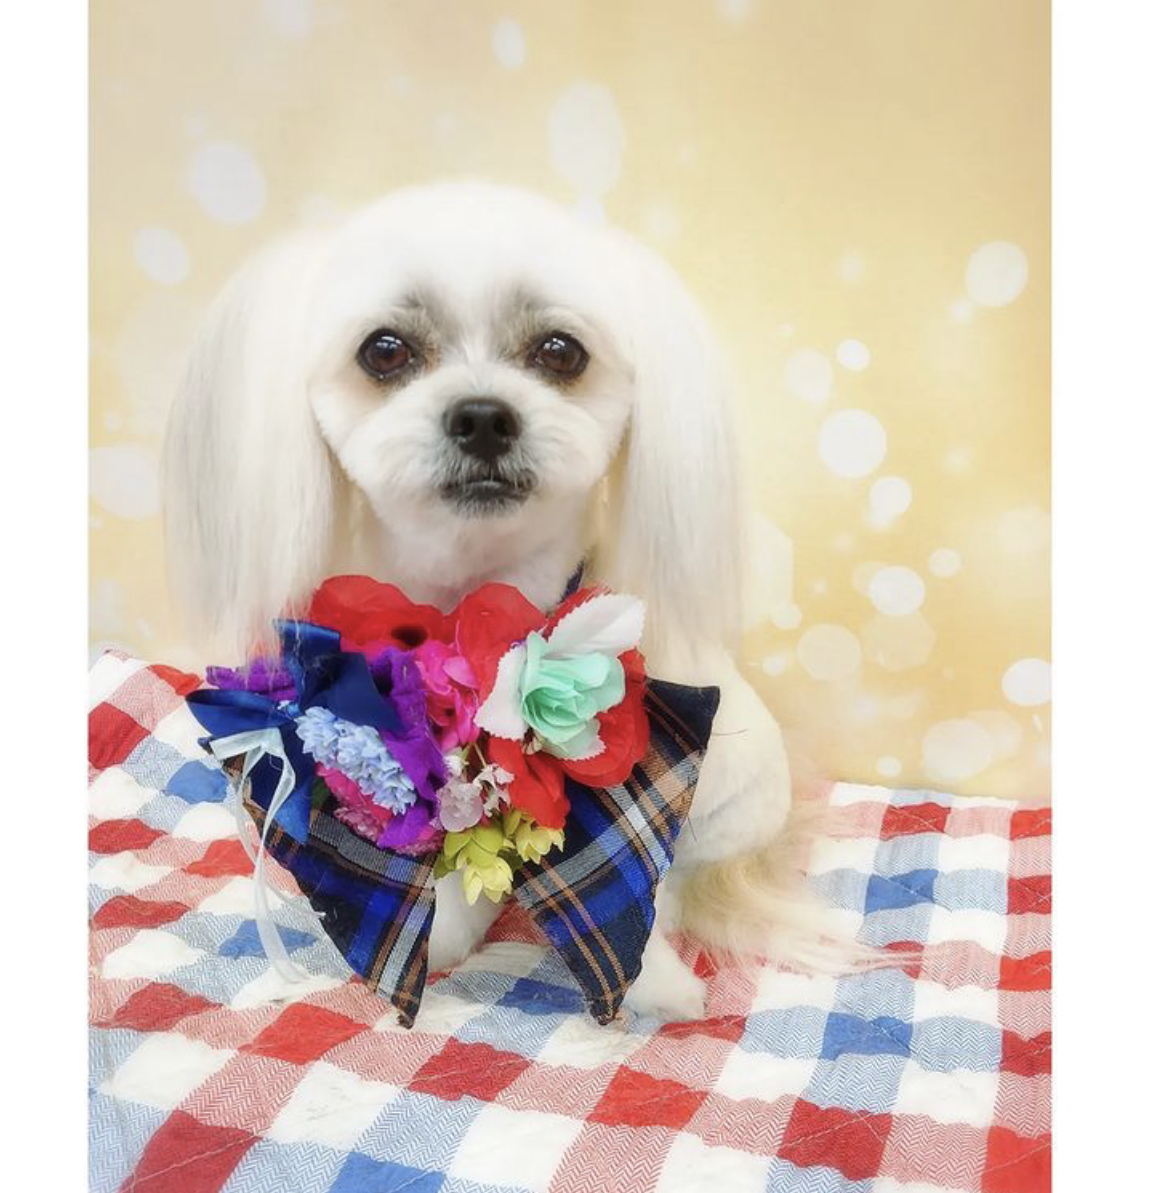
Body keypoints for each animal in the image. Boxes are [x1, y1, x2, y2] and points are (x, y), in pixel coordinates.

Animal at [163, 180, 846, 1022]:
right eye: (384, 350)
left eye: (560, 350)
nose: (483, 415)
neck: (473, 611)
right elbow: (454, 876)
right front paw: (448, 939)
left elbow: (638, 898)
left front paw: (656, 984)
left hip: (733, 798)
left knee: (685, 878)